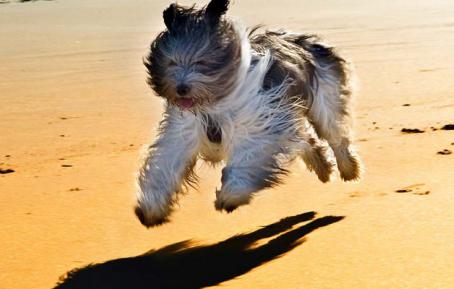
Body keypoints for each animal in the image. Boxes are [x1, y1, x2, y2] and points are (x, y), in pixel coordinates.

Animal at [134, 0, 362, 227]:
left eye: (201, 62)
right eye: (171, 62)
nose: (181, 89)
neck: (213, 104)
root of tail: (301, 40)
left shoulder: (258, 124)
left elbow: (245, 160)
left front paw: (230, 195)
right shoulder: (183, 132)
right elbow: (166, 164)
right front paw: (152, 208)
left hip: (325, 99)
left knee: (335, 137)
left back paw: (348, 168)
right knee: (306, 140)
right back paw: (322, 166)